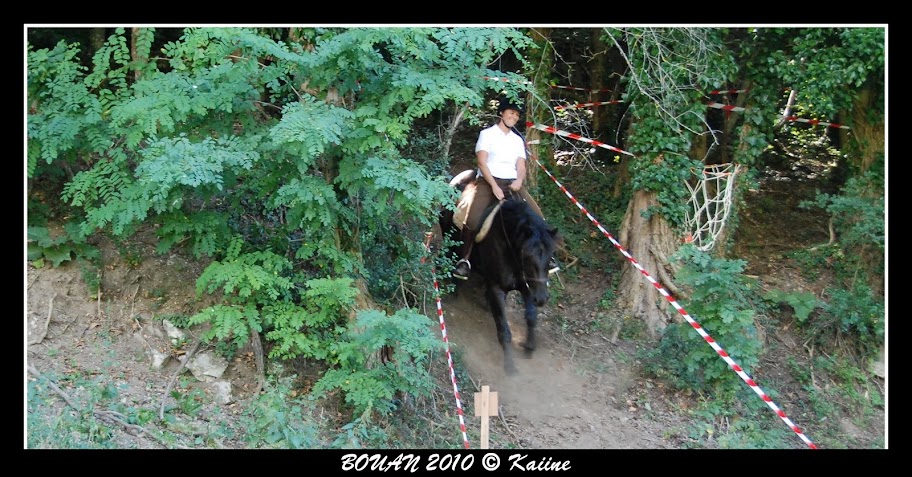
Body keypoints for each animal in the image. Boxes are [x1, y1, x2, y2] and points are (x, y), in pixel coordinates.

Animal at [440, 170, 562, 375]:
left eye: (551, 253)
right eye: (526, 255)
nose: (542, 298)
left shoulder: (528, 286)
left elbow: (531, 317)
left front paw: (529, 347)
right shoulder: (497, 287)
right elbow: (504, 331)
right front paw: (510, 367)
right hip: (449, 238)